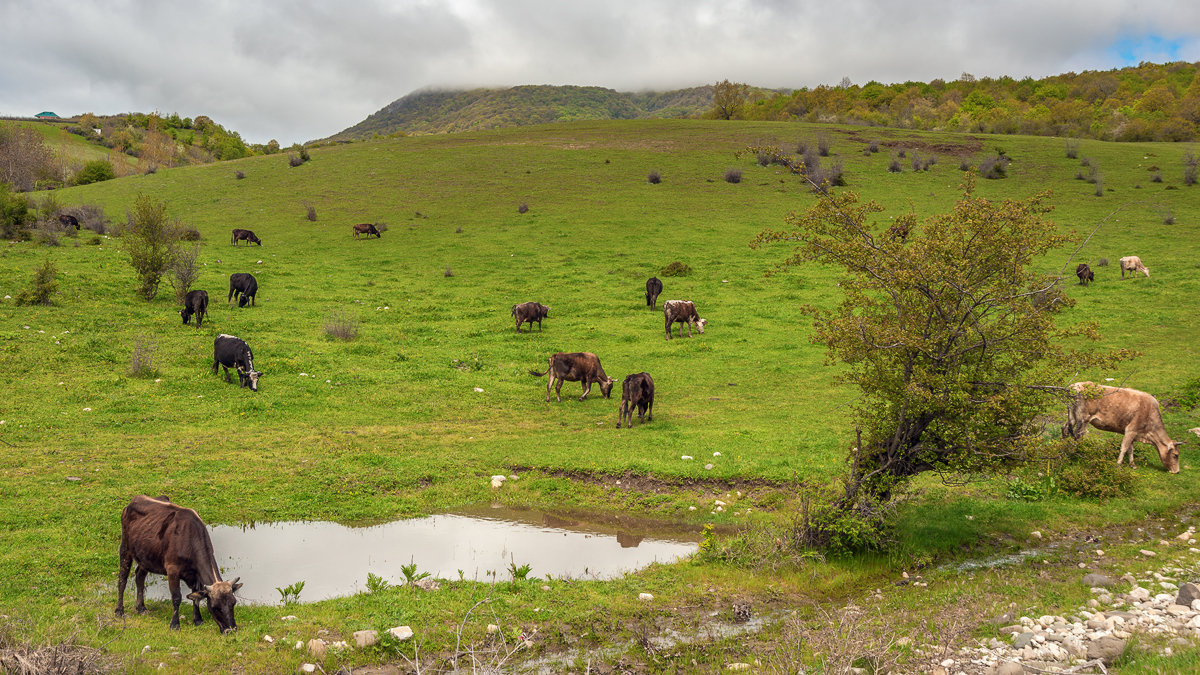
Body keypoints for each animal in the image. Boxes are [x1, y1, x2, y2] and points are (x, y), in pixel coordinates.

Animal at [114, 494, 241, 629]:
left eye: (233, 603)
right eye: (215, 607)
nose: (231, 629)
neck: (189, 539)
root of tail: (136, 499)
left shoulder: (195, 575)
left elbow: (195, 597)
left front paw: (198, 620)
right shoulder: (172, 570)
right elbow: (176, 597)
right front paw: (175, 624)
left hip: (146, 555)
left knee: (139, 577)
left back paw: (141, 608)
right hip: (125, 547)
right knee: (122, 579)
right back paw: (119, 611)